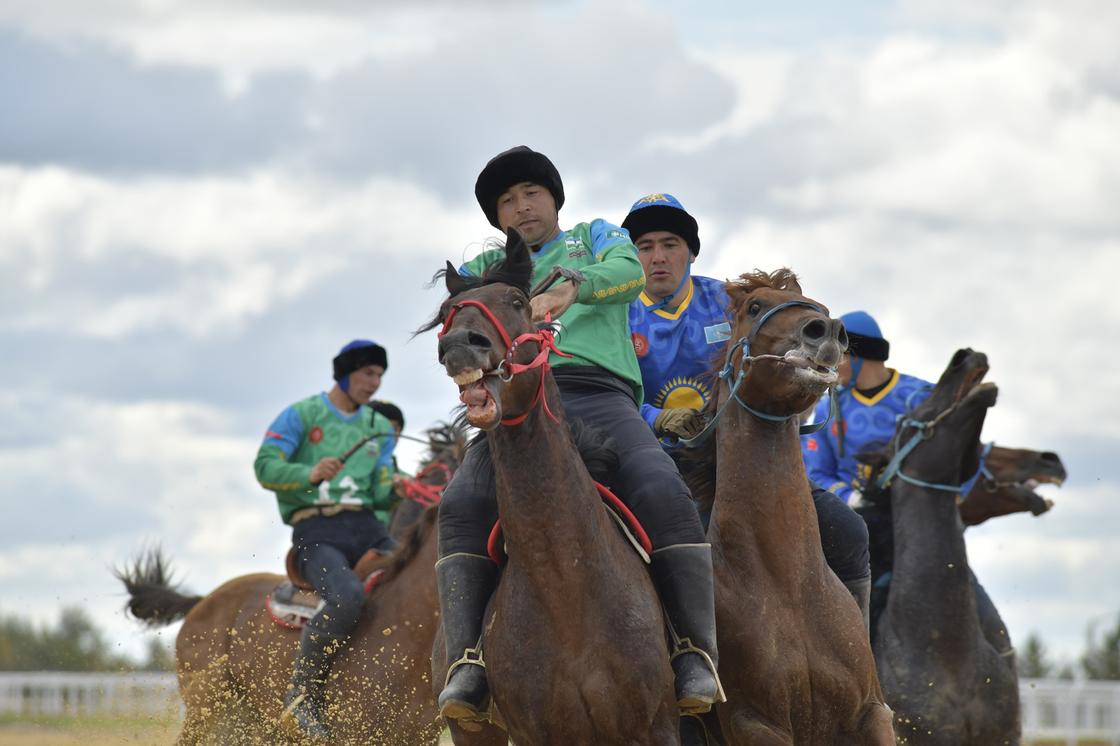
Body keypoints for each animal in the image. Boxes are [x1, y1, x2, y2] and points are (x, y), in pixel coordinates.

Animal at [698, 268, 891, 743]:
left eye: (820, 307)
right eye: (754, 307)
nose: (827, 331)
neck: (789, 585)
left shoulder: (871, 712)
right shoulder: (756, 723)